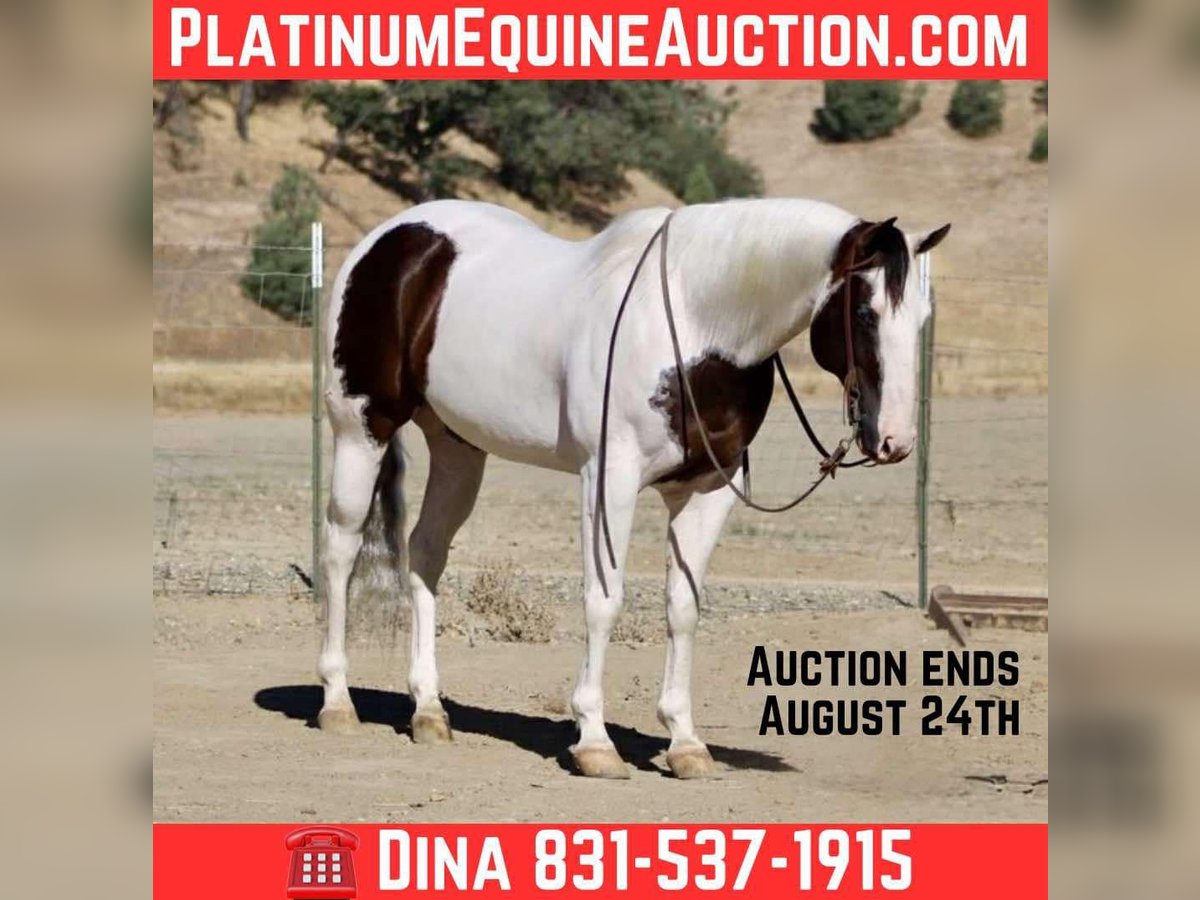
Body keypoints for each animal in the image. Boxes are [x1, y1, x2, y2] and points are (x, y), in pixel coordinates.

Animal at [315, 197, 949, 779]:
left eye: (922, 317)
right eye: (864, 312)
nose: (894, 440)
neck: (696, 324)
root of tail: (388, 239)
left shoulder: (709, 490)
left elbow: (683, 607)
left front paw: (685, 743)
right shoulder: (608, 479)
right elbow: (604, 600)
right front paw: (594, 742)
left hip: (457, 449)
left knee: (424, 554)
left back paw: (428, 711)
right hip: (360, 430)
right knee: (341, 550)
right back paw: (337, 701)